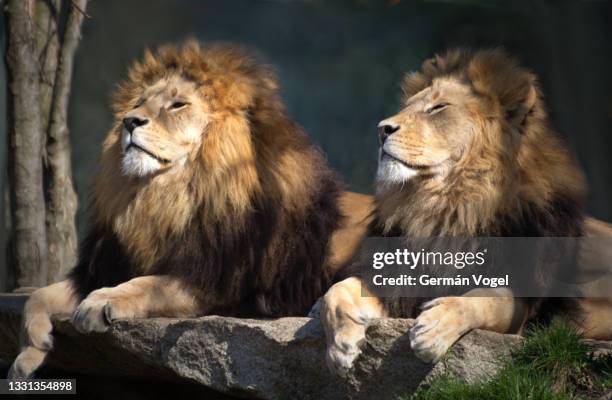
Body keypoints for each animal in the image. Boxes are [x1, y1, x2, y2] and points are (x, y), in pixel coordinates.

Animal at [9, 42, 370, 380]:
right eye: (139, 102)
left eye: (177, 104)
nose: (129, 121)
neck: (165, 196)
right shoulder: (100, 267)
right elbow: (37, 296)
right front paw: (30, 352)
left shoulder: (213, 279)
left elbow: (145, 284)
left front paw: (99, 302)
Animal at [320, 48, 612, 376]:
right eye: (408, 107)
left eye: (438, 108)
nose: (382, 130)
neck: (449, 207)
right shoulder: (394, 277)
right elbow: (336, 291)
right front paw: (340, 345)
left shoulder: (523, 302)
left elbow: (488, 299)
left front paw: (434, 328)